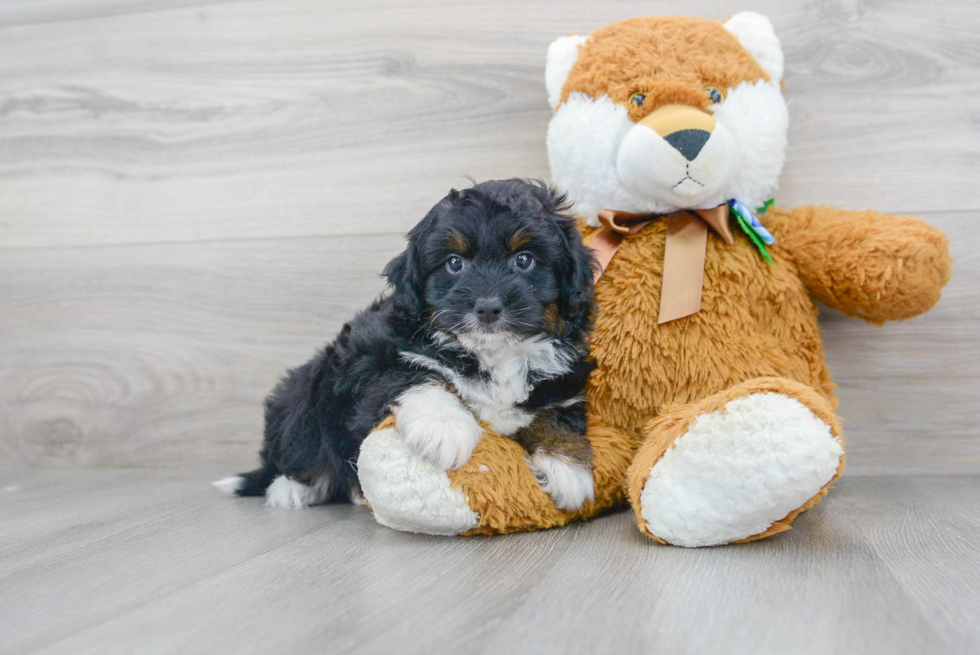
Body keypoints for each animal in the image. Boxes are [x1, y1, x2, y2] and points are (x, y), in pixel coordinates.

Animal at [214, 178, 596, 512]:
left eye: (524, 259)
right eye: (454, 263)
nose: (488, 306)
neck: (494, 354)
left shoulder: (561, 382)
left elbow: (555, 415)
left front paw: (566, 466)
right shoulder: (370, 361)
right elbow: (414, 373)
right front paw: (445, 425)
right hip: (302, 393)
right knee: (297, 449)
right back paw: (292, 488)